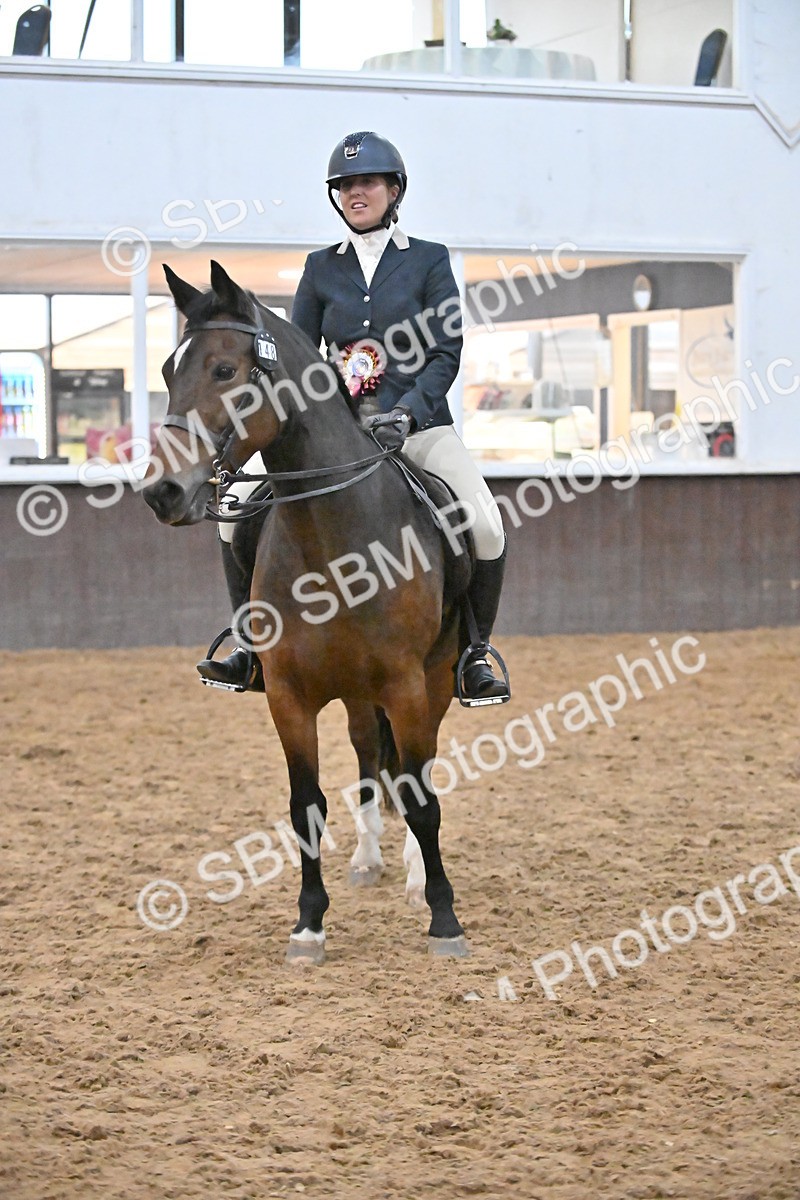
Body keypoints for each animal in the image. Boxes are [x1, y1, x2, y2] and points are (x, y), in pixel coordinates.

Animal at [143, 260, 473, 964]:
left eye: (224, 370)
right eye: (166, 370)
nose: (163, 492)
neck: (335, 539)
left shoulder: (407, 686)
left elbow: (423, 799)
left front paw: (443, 918)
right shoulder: (289, 695)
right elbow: (306, 807)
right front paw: (309, 925)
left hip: (430, 682)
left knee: (418, 771)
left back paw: (412, 876)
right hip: (354, 691)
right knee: (370, 758)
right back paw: (370, 860)